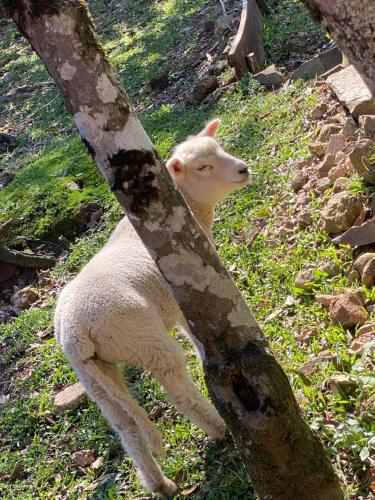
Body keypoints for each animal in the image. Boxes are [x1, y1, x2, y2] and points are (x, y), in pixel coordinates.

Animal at [54, 119, 250, 498]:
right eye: (202, 167)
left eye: (219, 149)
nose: (243, 169)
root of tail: (74, 331)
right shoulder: (190, 290)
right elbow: (196, 331)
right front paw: (208, 352)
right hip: (141, 339)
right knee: (176, 388)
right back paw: (219, 428)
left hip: (94, 374)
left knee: (125, 425)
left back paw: (159, 483)